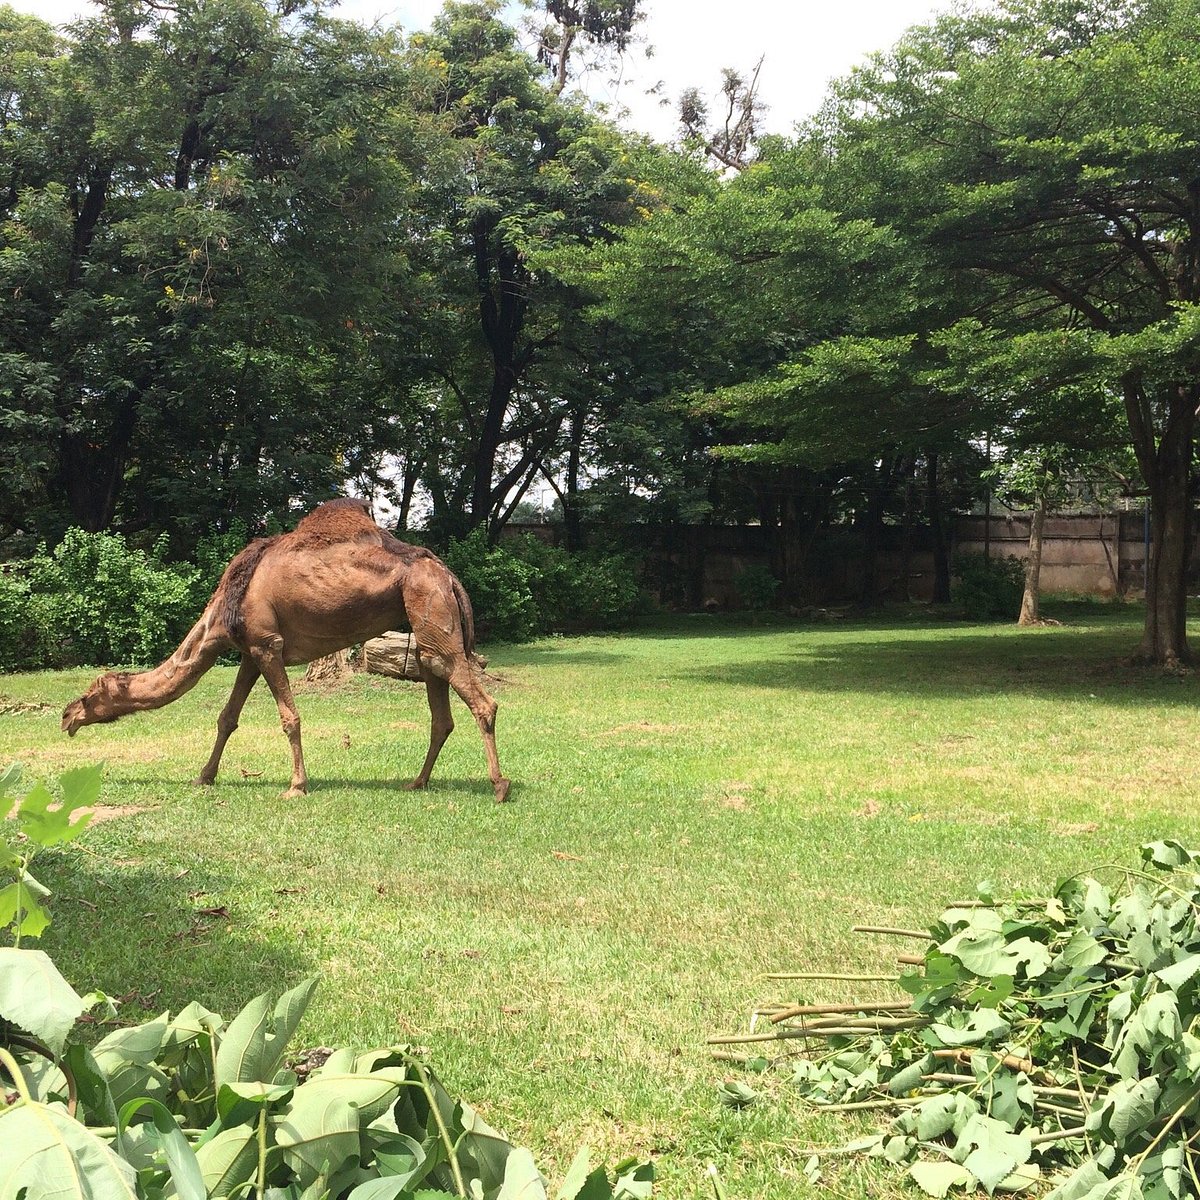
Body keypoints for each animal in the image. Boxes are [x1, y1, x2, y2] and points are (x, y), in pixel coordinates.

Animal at [62, 501, 511, 801]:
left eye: (89, 695)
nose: (66, 718)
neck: (226, 606)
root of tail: (447, 573)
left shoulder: (266, 644)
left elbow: (289, 718)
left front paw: (296, 786)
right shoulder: (248, 652)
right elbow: (227, 718)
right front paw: (203, 777)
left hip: (427, 600)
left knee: (475, 695)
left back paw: (500, 786)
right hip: (423, 617)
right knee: (438, 699)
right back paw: (417, 782)